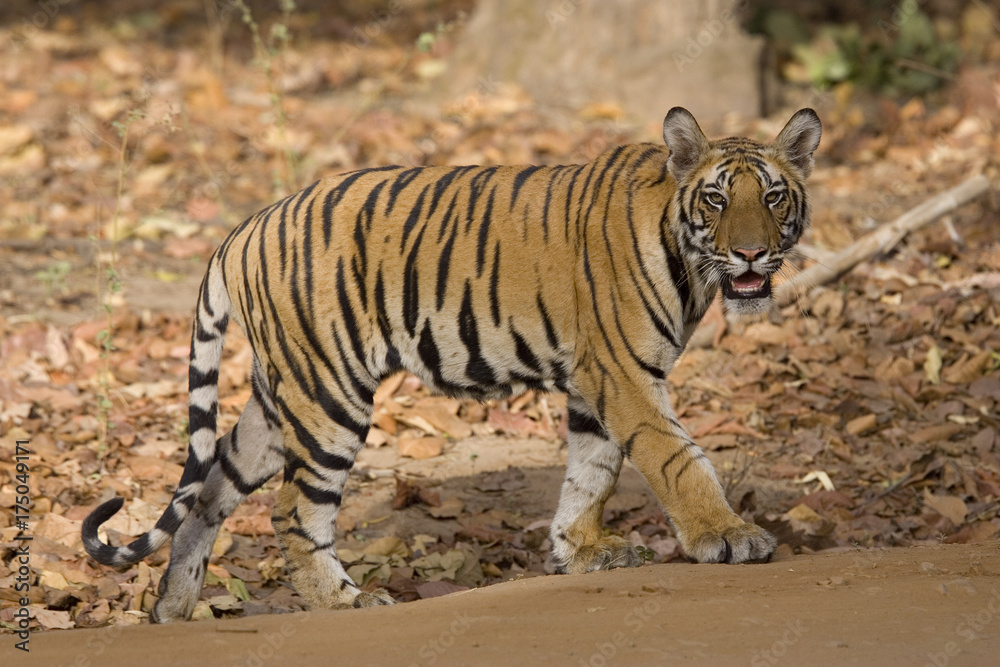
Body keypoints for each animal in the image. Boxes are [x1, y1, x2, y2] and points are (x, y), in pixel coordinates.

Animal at [83, 106, 821, 622]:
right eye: (717, 199)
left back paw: (173, 605)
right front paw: (727, 536)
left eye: (774, 197)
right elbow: (676, 458)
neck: (688, 257)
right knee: (293, 509)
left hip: (280, 397)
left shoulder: (595, 382)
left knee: (211, 488)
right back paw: (344, 601)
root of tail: (243, 227)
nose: (752, 254)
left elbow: (594, 470)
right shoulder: (625, 376)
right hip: (330, 395)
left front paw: (580, 549)